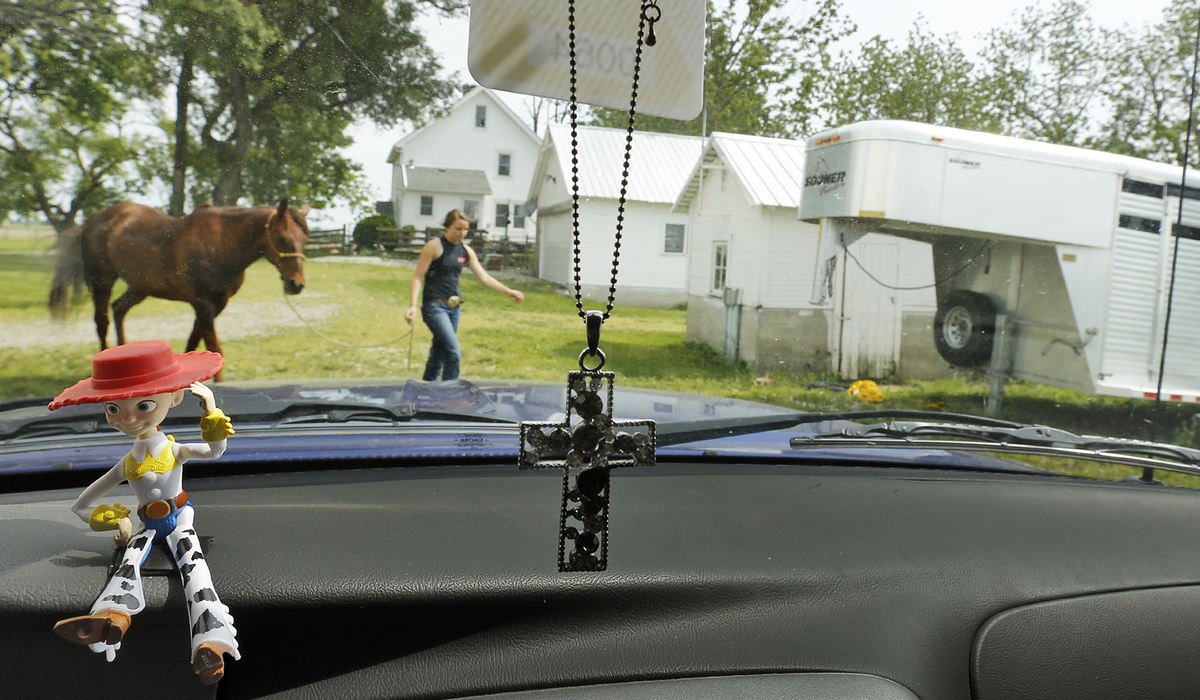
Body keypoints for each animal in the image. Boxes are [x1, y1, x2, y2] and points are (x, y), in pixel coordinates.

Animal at [62, 198, 309, 357]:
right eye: (282, 239)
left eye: (305, 239)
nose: (296, 284)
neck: (220, 243)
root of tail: (92, 220)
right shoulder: (203, 303)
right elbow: (213, 348)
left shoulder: (216, 304)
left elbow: (193, 341)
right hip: (102, 281)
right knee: (101, 321)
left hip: (140, 287)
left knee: (119, 308)